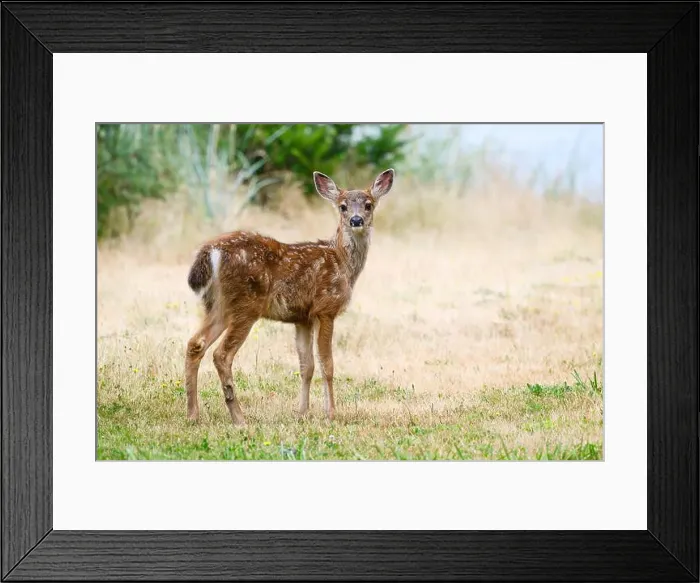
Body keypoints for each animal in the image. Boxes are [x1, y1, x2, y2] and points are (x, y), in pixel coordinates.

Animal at [184, 168, 396, 427]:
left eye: (368, 205)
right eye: (343, 206)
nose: (356, 221)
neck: (342, 262)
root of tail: (210, 252)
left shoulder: (302, 318)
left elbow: (307, 366)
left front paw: (302, 412)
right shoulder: (325, 308)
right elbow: (327, 364)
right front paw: (330, 414)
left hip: (218, 305)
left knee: (195, 343)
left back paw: (193, 414)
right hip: (246, 304)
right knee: (221, 354)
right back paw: (239, 418)